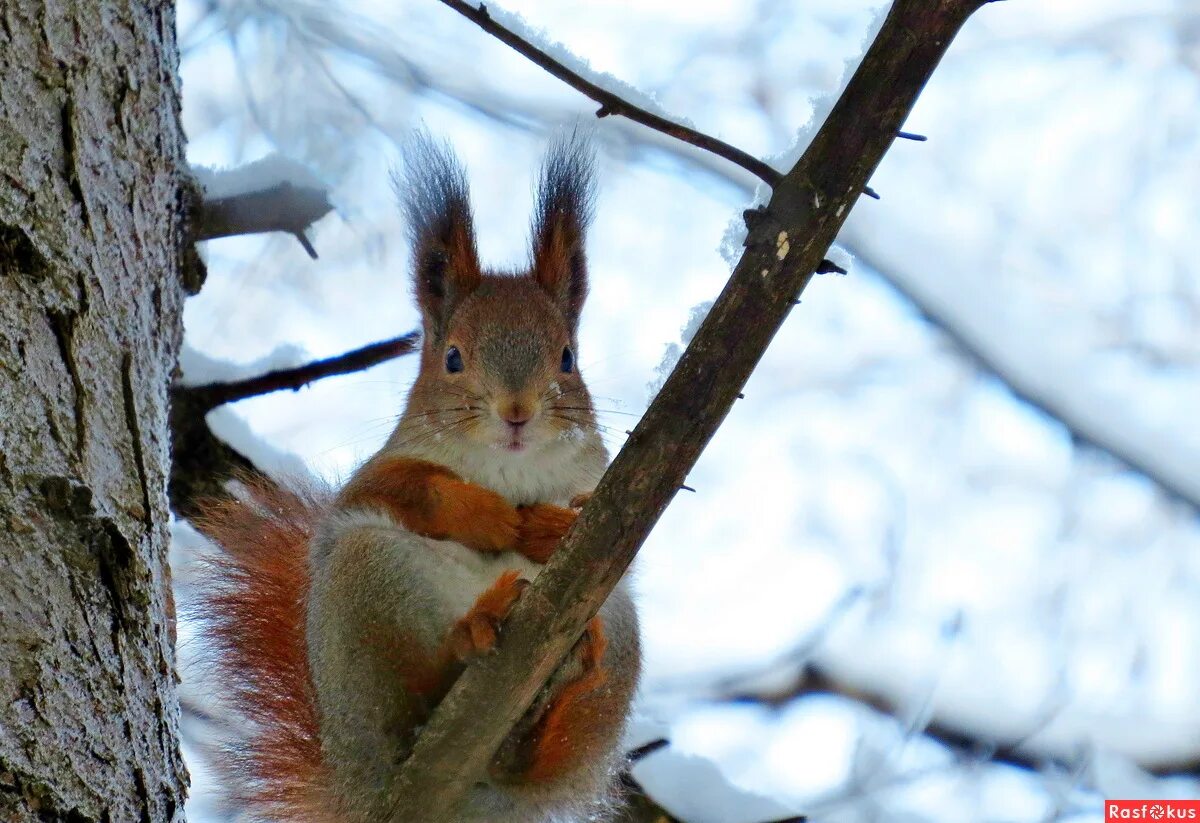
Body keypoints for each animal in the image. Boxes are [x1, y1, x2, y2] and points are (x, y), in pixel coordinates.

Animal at [194, 131, 648, 820]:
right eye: (452, 357)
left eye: (568, 357)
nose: (517, 412)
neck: (507, 466)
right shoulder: (375, 475)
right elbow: (409, 488)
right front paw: (490, 516)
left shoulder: (608, 496)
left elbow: (600, 525)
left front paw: (548, 525)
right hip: (368, 589)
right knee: (412, 701)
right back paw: (473, 630)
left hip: (618, 633)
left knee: (540, 749)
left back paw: (555, 692)